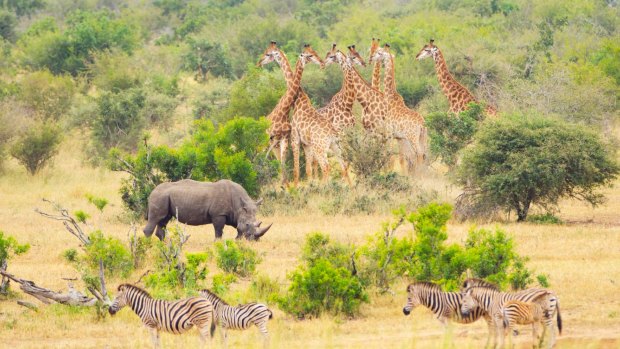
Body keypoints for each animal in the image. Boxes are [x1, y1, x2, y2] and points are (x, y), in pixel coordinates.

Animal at [290, 44, 352, 186]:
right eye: (310, 54)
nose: (322, 63)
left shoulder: (295, 139)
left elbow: (297, 170)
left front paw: (295, 188)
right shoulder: (304, 142)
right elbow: (306, 169)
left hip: (322, 147)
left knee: (327, 166)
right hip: (331, 145)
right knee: (337, 165)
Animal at [370, 43, 428, 171]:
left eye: (379, 53)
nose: (370, 58)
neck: (390, 97)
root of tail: (422, 124)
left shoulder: (389, 133)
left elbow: (390, 155)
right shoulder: (400, 137)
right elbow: (403, 158)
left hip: (413, 137)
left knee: (419, 153)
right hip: (422, 137)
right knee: (424, 154)